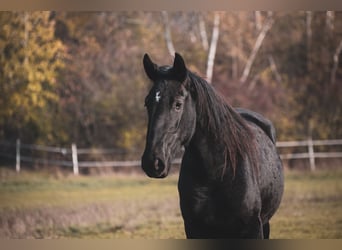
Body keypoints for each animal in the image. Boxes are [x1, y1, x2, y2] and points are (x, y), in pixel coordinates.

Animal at [140, 52, 284, 238]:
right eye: (147, 103)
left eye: (178, 104)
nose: (153, 162)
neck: (217, 172)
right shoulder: (194, 228)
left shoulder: (252, 227)